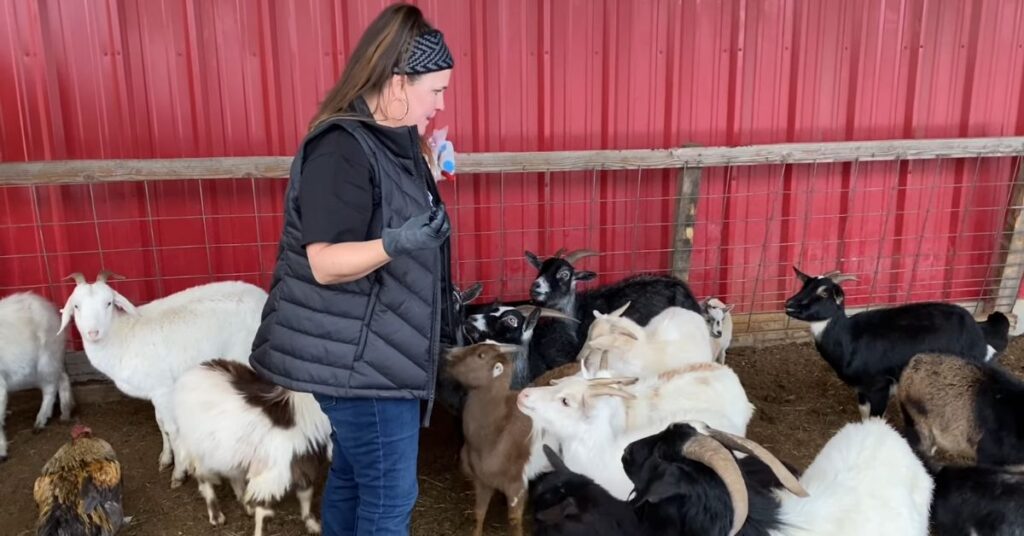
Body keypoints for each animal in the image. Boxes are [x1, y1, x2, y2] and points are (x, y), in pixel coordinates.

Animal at [169, 360, 325, 536]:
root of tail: (191, 372)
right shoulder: (271, 474)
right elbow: (264, 512)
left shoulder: (304, 462)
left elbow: (306, 495)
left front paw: (313, 524)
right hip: (199, 447)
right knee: (204, 477)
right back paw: (216, 516)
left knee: (233, 475)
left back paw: (245, 504)